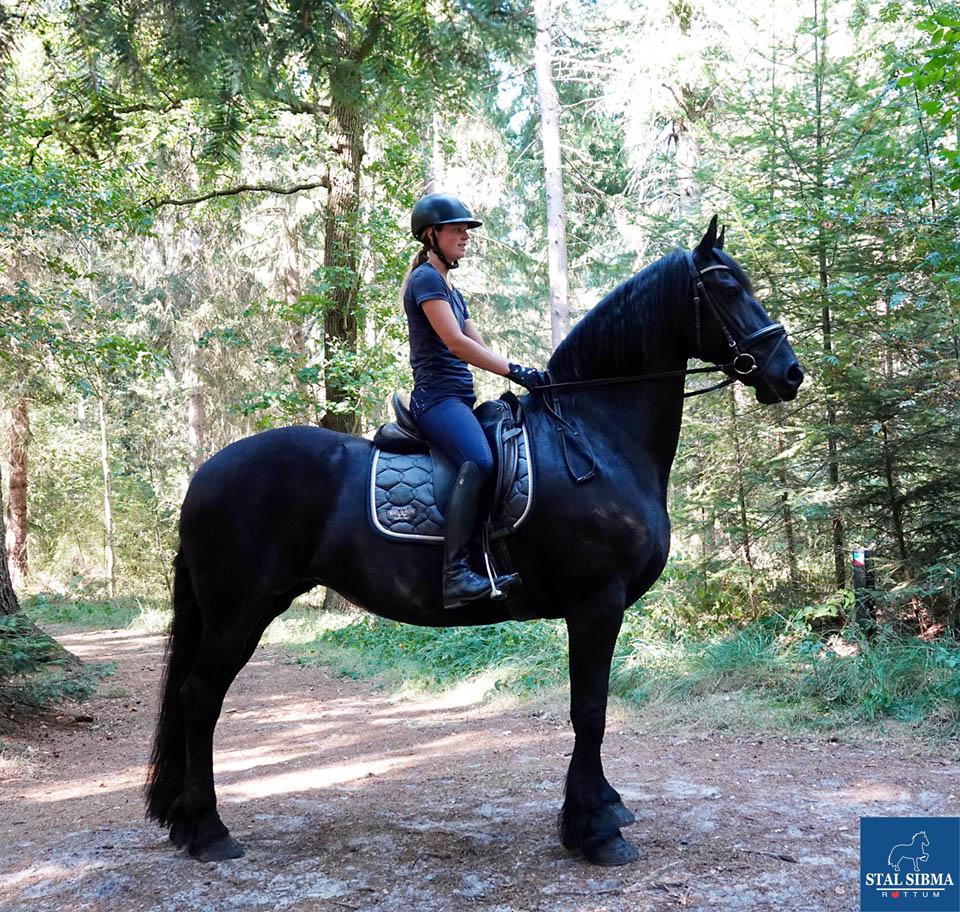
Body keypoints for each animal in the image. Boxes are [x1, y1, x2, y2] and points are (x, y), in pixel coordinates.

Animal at [142, 217, 804, 864]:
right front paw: (595, 829)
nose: (789, 373)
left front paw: (599, 812)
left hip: (244, 610)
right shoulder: (597, 602)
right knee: (199, 697)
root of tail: (205, 474)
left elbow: (588, 710)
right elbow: (589, 710)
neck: (593, 433)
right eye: (726, 287)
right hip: (238, 611)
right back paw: (207, 830)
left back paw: (188, 823)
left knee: (198, 697)